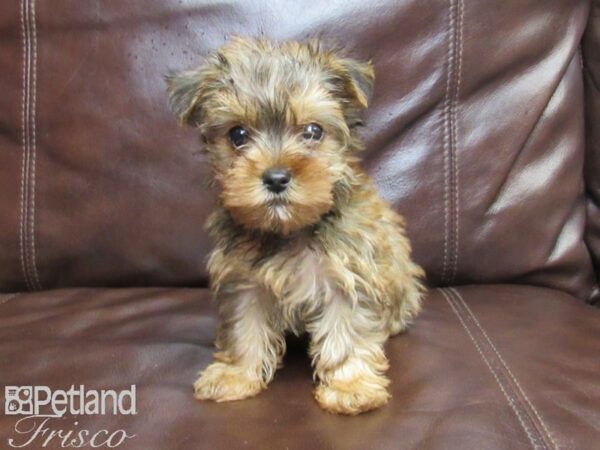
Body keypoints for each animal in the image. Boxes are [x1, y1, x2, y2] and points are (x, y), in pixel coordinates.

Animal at [166, 38, 424, 414]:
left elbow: (346, 332)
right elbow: (245, 329)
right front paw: (236, 375)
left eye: (313, 131)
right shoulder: (244, 282)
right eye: (237, 134)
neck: (289, 230)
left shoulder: (348, 275)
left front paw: (349, 386)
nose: (276, 178)